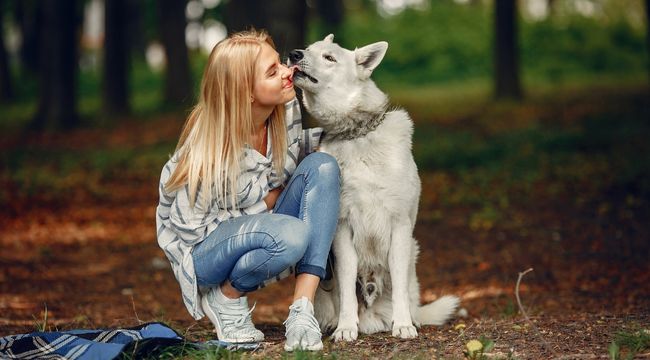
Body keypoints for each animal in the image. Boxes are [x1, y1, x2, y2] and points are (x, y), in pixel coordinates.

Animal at [288, 34, 460, 340]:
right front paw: (346, 328)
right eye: (308, 49)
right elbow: (346, 287)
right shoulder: (342, 229)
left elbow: (400, 285)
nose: (294, 54)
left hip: (412, 253)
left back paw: (409, 320)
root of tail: (372, 317)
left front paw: (403, 325)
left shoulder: (399, 226)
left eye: (329, 57)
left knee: (408, 298)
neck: (356, 135)